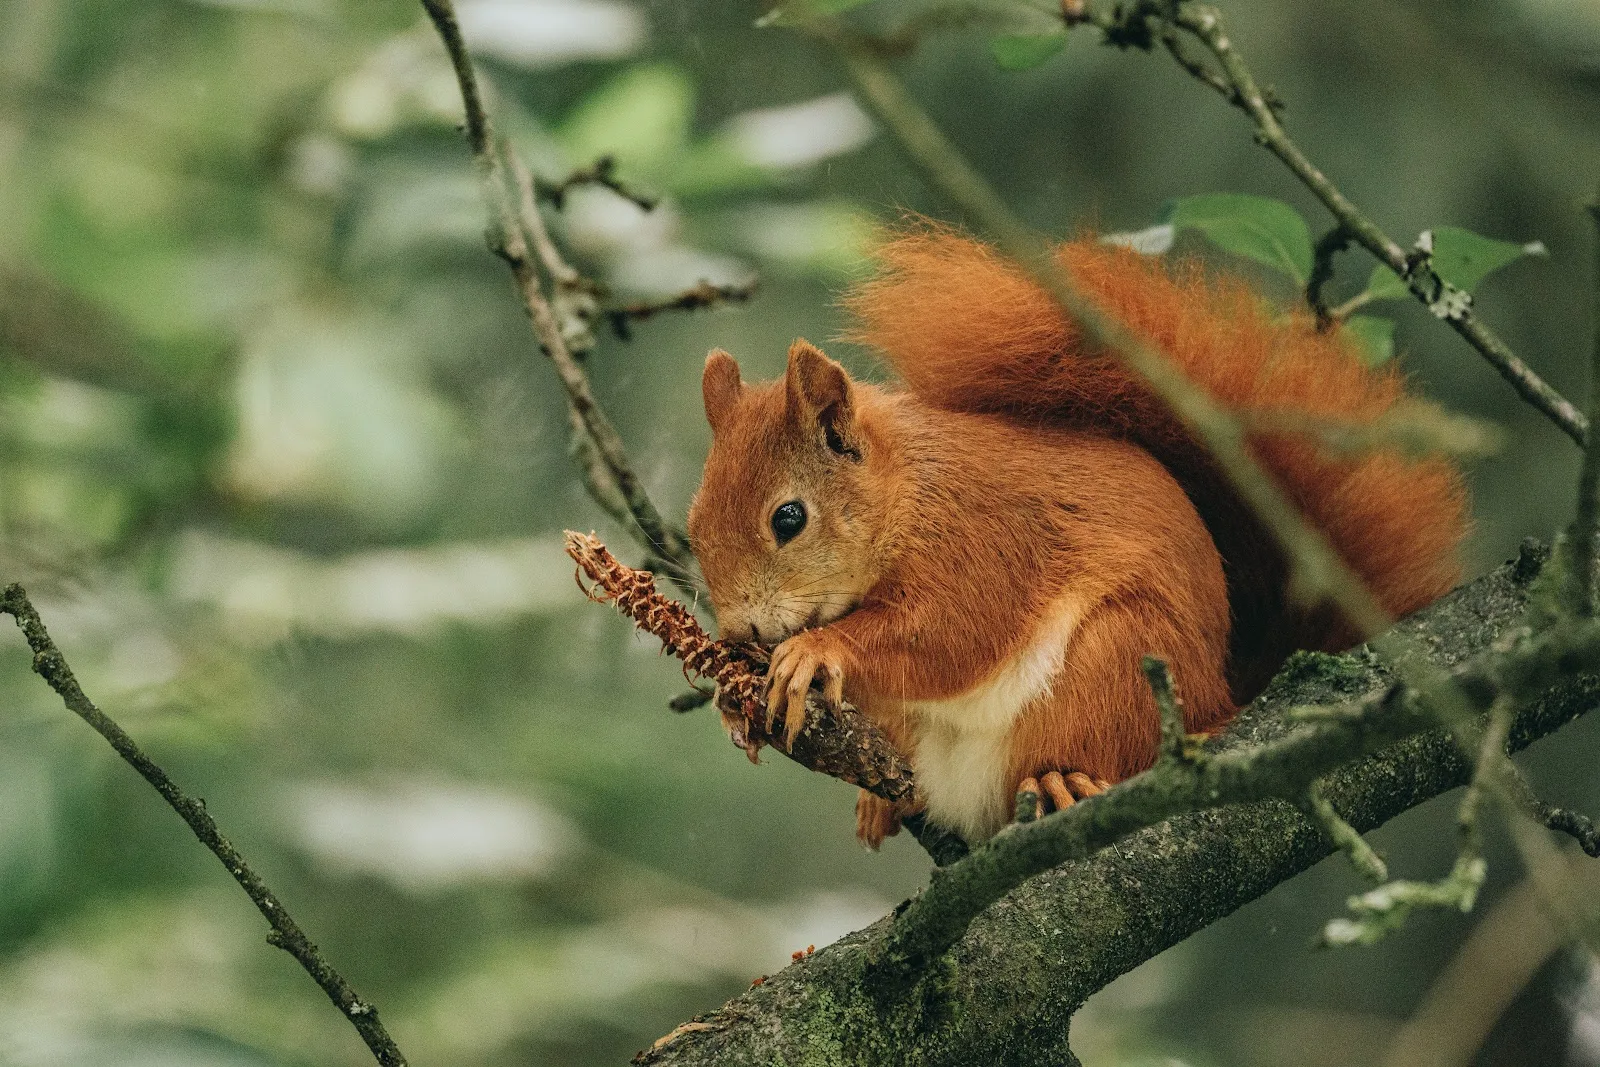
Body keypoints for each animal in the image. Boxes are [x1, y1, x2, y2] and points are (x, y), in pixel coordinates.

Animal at [681, 230, 1465, 844]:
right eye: (692, 524)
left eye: (789, 518)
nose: (740, 629)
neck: (906, 495)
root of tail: (1221, 695)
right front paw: (734, 697)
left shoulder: (984, 542)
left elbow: (950, 634)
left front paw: (816, 649)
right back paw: (885, 801)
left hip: (1115, 663)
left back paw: (1063, 779)